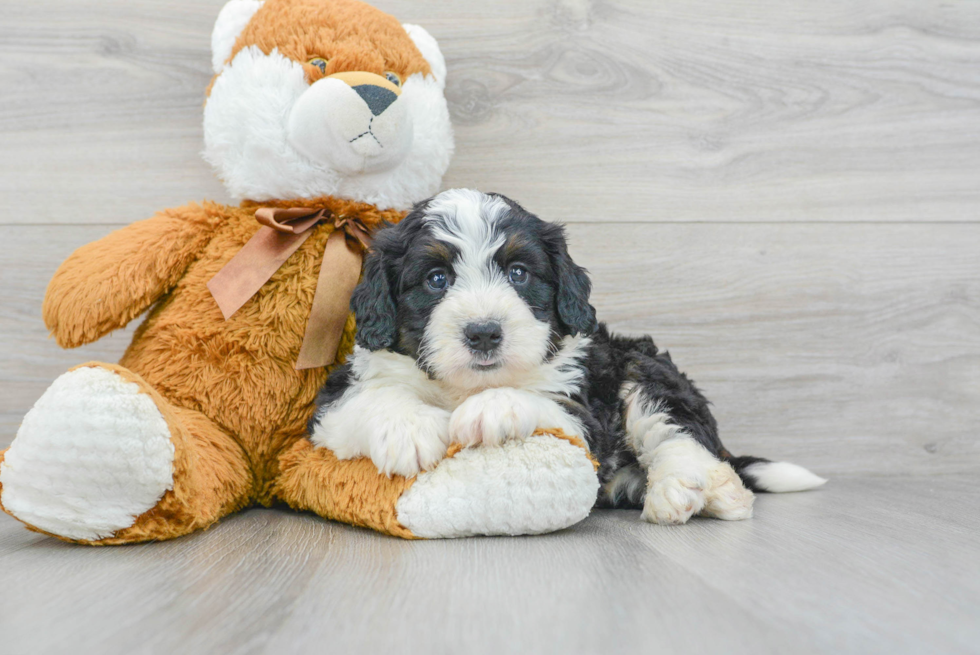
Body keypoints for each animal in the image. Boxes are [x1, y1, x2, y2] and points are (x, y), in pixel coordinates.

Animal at [308, 188, 828, 524]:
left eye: (518, 273)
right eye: (436, 279)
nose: (484, 333)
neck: (462, 386)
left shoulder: (583, 404)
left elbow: (545, 403)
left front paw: (492, 408)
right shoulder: (336, 398)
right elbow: (370, 398)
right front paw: (409, 430)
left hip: (642, 366)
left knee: (679, 434)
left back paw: (690, 491)